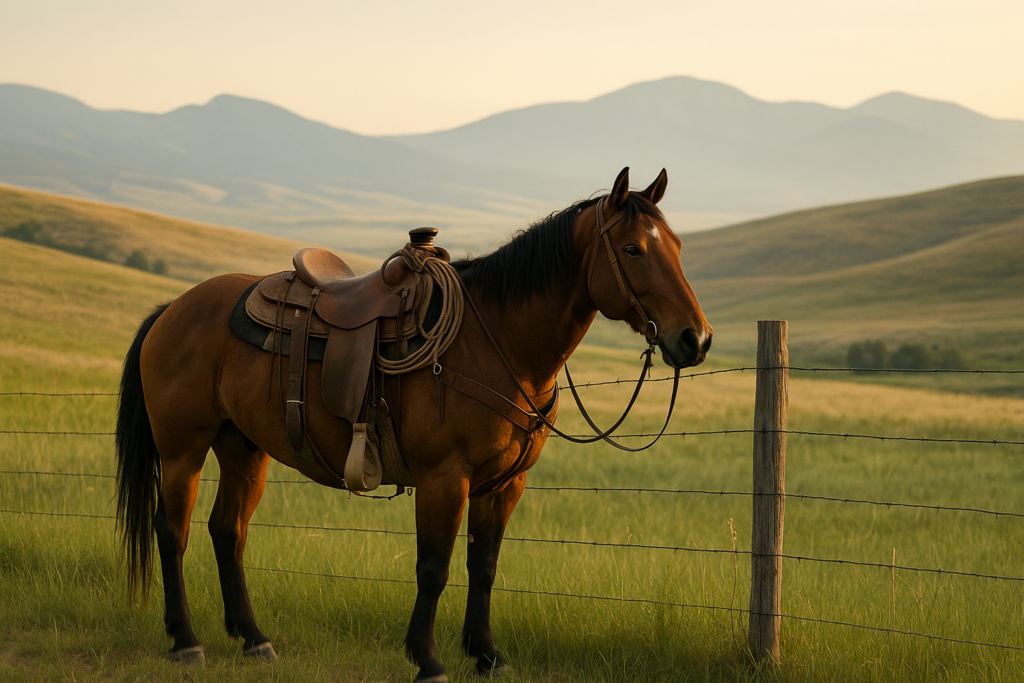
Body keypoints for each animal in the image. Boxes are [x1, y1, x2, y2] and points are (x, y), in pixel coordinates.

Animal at [115, 167, 712, 681]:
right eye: (633, 249)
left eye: (680, 248)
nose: (696, 338)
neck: (496, 343)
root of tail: (172, 308)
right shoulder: (445, 479)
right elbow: (434, 568)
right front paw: (427, 660)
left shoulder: (504, 484)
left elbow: (484, 565)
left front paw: (487, 654)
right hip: (183, 451)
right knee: (173, 531)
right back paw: (185, 641)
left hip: (243, 449)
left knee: (227, 530)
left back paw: (254, 638)